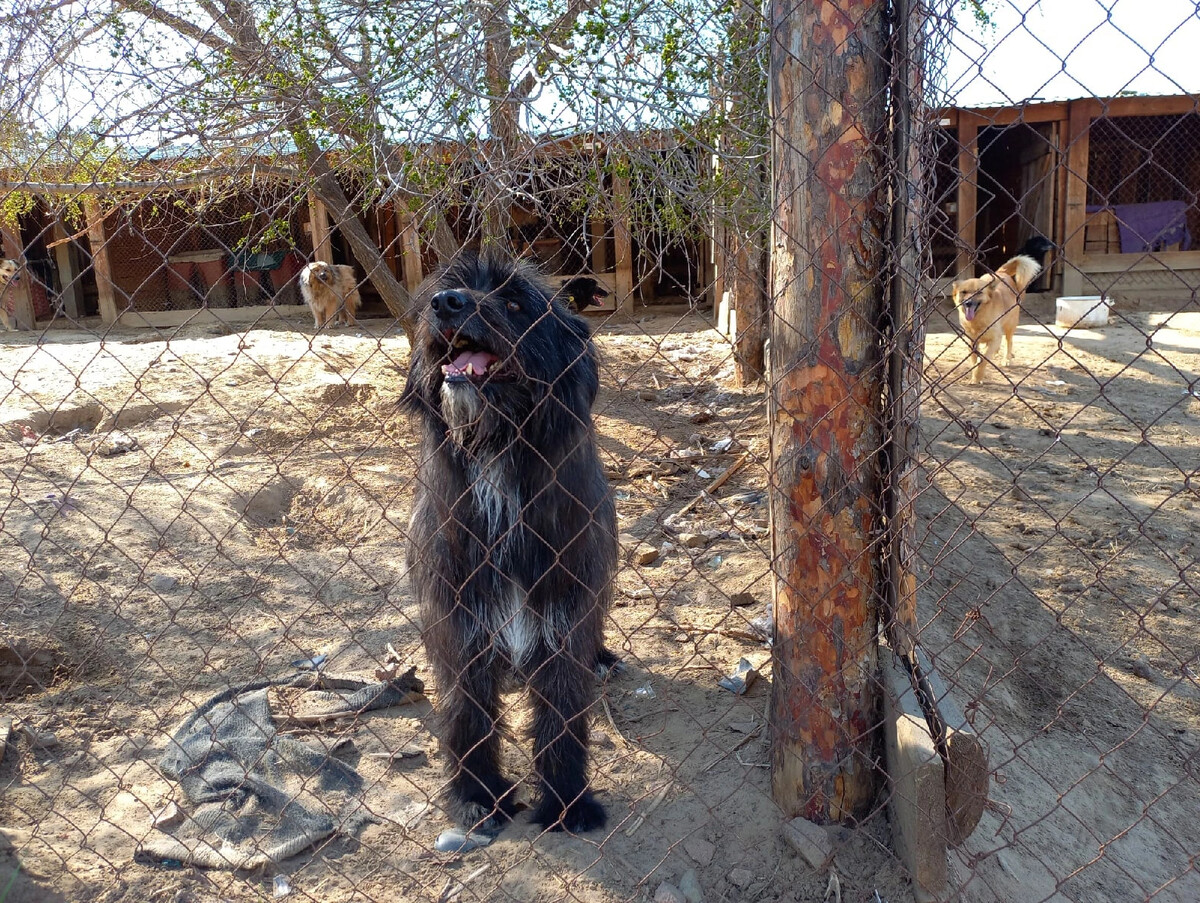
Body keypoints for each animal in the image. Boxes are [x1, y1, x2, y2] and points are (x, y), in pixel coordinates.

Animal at [400, 252, 614, 830]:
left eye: (516, 302)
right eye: (449, 288)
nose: (445, 303)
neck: (497, 453)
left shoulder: (564, 614)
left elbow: (562, 714)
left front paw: (566, 801)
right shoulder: (461, 622)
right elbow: (467, 715)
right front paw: (478, 794)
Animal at [945, 254, 1041, 384]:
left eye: (979, 292)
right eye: (964, 292)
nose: (968, 303)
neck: (977, 321)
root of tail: (1001, 273)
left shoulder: (995, 337)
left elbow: (983, 360)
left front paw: (978, 377)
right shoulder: (971, 341)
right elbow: (975, 360)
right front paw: (975, 375)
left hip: (1010, 326)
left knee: (1008, 341)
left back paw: (1006, 359)